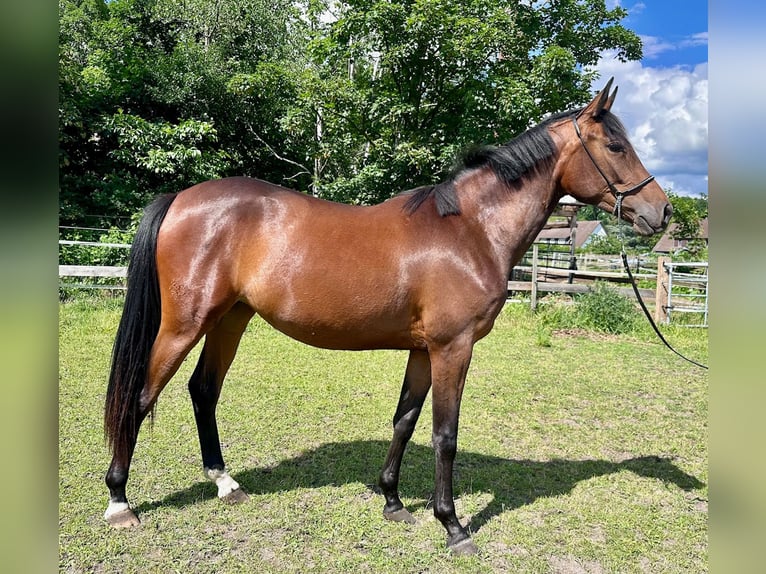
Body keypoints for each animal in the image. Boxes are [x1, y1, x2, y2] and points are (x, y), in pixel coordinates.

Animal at [103, 79, 672, 556]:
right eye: (616, 147)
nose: (662, 212)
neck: (470, 229)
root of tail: (181, 197)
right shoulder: (452, 347)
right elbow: (445, 434)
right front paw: (453, 526)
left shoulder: (423, 349)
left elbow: (405, 419)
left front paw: (394, 502)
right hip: (185, 324)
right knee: (140, 396)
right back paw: (120, 502)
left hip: (230, 319)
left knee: (203, 390)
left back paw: (225, 484)